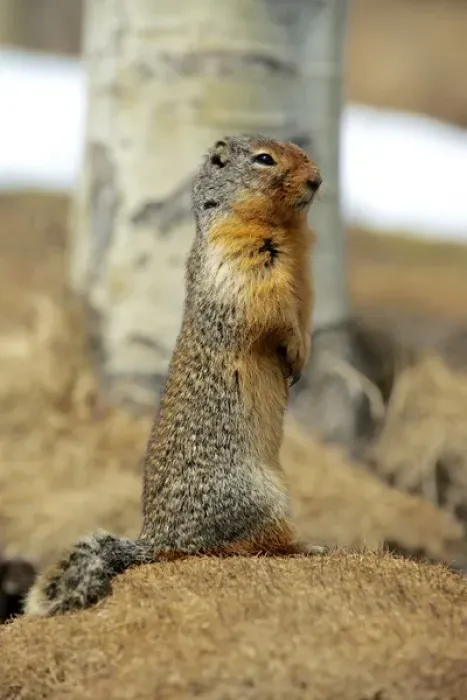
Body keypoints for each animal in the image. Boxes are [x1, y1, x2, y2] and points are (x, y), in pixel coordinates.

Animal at [25, 134, 324, 617]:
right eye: (264, 159)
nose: (318, 179)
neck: (286, 231)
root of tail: (157, 539)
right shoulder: (244, 265)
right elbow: (272, 313)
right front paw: (294, 351)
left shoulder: (305, 282)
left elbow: (305, 314)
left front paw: (303, 358)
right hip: (259, 496)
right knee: (249, 544)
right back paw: (307, 546)